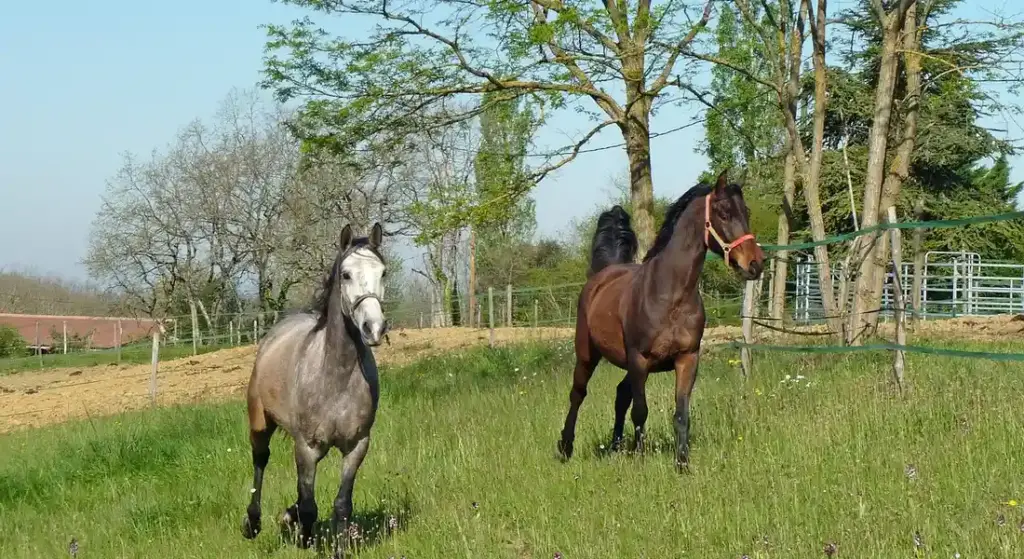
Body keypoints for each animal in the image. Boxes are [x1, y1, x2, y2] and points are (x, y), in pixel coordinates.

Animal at [242, 222, 389, 555]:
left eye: (383, 272)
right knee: (260, 461)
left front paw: (338, 549)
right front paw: (304, 539)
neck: (335, 377)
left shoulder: (357, 445)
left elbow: (342, 504)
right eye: (346, 274)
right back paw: (253, 523)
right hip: (260, 423)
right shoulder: (307, 447)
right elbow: (310, 505)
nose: (374, 328)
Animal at [556, 169, 765, 472]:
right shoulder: (639, 359)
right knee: (578, 394)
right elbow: (640, 411)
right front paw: (641, 459)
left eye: (745, 211)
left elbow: (681, 414)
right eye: (724, 212)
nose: (756, 264)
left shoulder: (687, 359)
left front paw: (682, 464)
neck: (670, 296)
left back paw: (616, 447)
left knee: (621, 395)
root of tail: (603, 274)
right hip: (588, 355)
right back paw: (565, 448)